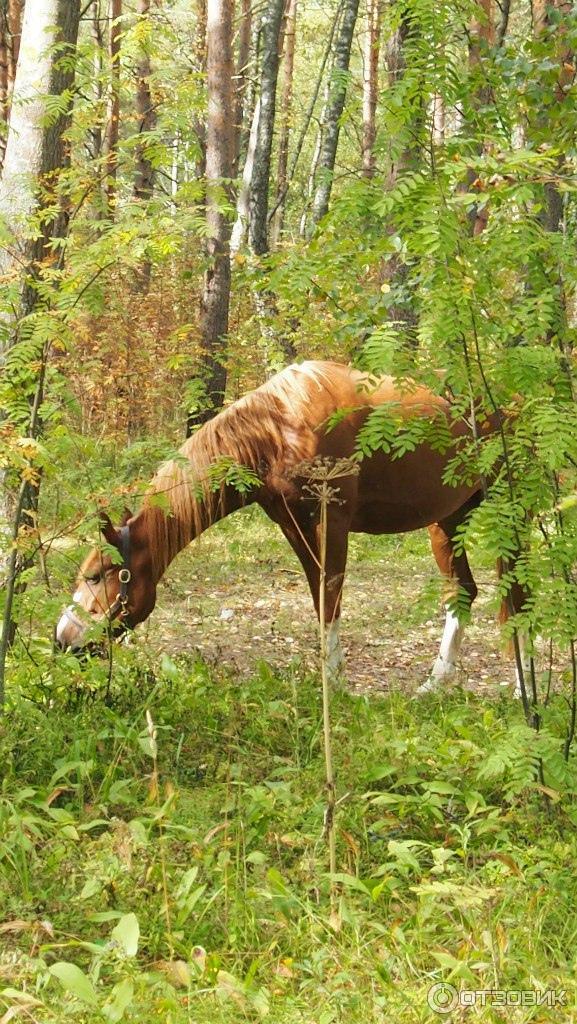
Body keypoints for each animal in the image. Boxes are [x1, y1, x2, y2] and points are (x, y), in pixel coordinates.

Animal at [57, 358, 524, 688]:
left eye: (98, 575)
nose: (62, 638)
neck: (279, 427)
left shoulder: (331, 522)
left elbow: (331, 596)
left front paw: (335, 688)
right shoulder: (293, 526)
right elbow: (319, 600)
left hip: (509, 511)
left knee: (516, 595)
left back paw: (523, 689)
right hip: (448, 520)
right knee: (463, 593)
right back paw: (435, 685)